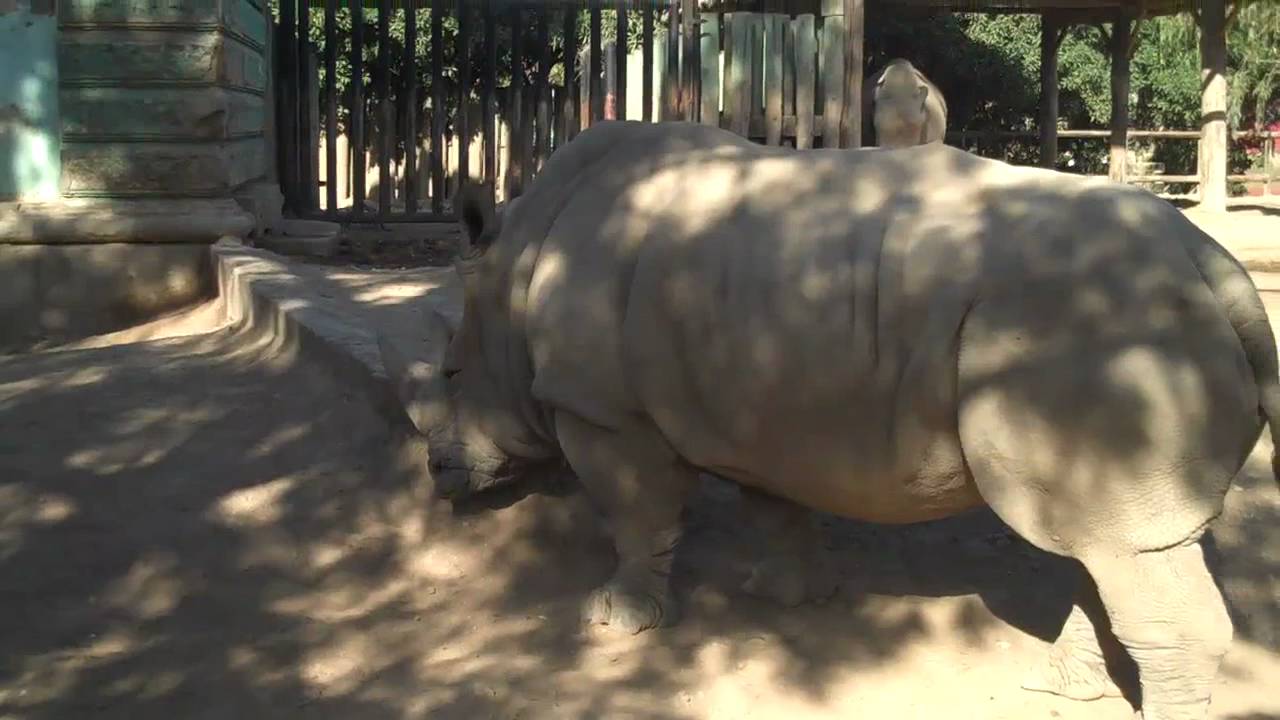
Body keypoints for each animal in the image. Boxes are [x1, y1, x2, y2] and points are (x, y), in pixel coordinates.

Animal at [378, 119, 1280, 720]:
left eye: (451, 374)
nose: (436, 476)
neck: (519, 264)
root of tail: (1218, 267)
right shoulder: (757, 403)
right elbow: (774, 505)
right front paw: (787, 594)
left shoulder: (603, 411)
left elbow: (635, 515)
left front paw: (613, 619)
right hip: (1119, 338)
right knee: (1112, 543)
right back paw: (1059, 685)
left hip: (1096, 333)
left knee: (1112, 545)